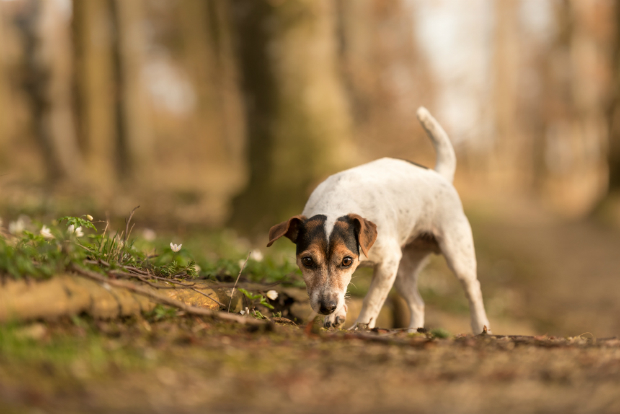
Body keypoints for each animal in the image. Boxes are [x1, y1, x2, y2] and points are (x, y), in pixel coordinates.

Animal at [266, 106, 490, 334]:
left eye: (346, 261)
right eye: (307, 261)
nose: (327, 307)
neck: (336, 202)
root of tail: (440, 175)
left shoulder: (387, 263)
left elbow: (372, 299)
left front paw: (362, 326)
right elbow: (343, 291)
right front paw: (337, 315)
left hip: (457, 257)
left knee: (473, 290)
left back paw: (481, 327)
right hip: (402, 272)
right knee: (418, 303)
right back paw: (412, 332)